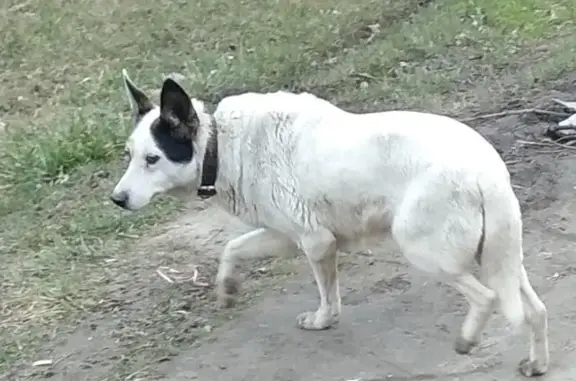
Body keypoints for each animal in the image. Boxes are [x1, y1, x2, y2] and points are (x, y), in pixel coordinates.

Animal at [109, 70, 548, 376]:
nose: (116, 200)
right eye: (130, 155)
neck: (221, 144)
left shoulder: (315, 242)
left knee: (486, 298)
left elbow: (327, 295)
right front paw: (228, 288)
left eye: (153, 159)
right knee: (535, 310)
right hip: (502, 258)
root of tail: (486, 170)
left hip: (426, 251)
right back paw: (537, 363)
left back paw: (468, 338)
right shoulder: (285, 235)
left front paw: (322, 321)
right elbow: (231, 249)